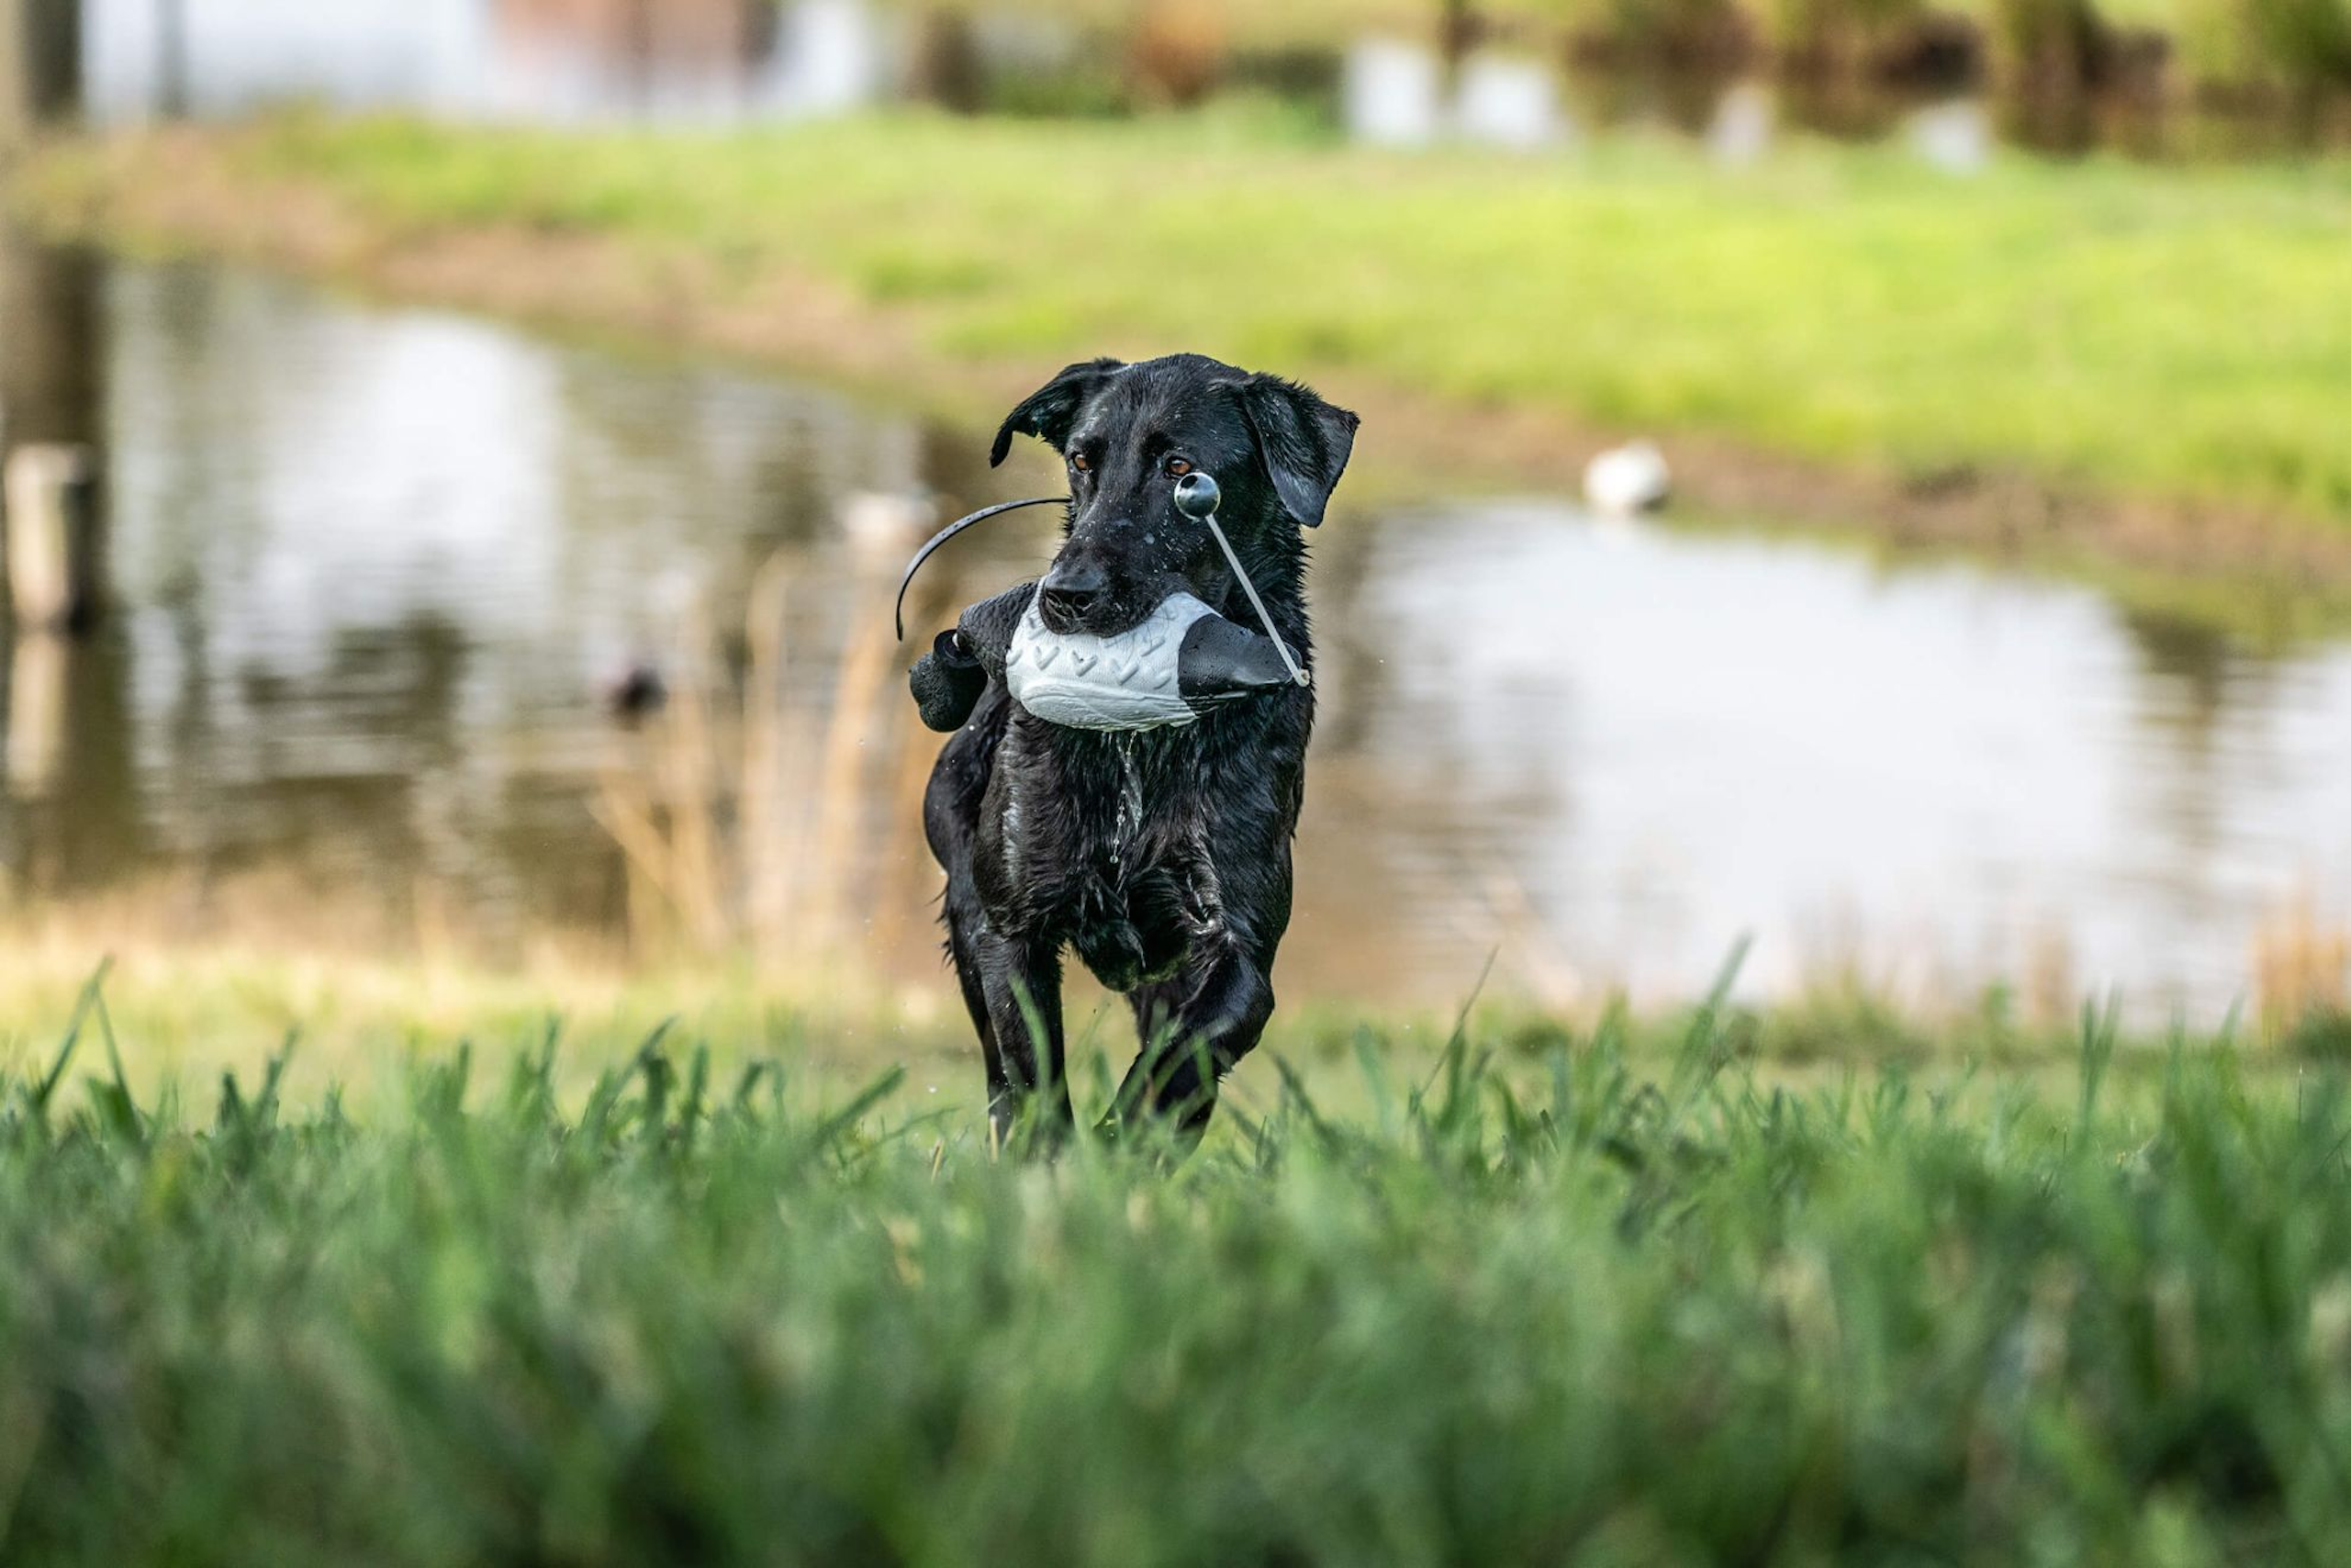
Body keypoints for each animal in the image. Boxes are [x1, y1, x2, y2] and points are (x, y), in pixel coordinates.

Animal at [916, 359, 1363, 1151]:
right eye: (1080, 460)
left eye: (1183, 472)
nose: (1066, 595)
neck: (1139, 740)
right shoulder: (1010, 930)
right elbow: (1033, 1076)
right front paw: (1057, 1161)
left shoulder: (1238, 950)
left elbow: (1179, 1065)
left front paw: (1123, 1149)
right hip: (964, 908)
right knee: (998, 1074)